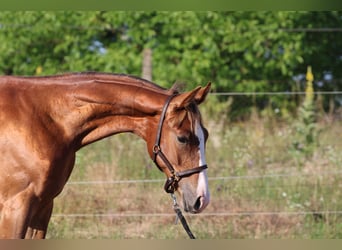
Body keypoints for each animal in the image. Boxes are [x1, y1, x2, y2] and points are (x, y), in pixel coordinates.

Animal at [0, 72, 211, 238]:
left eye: (206, 135)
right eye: (183, 138)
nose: (202, 199)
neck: (43, 118)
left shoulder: (43, 207)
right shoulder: (16, 208)